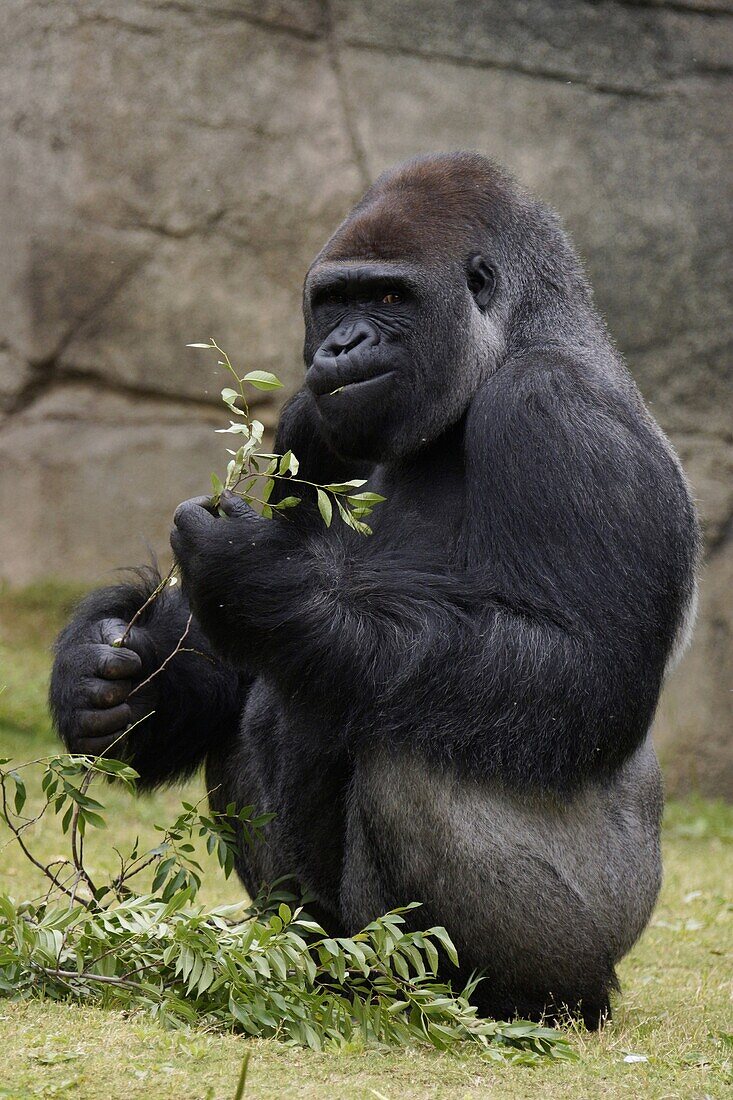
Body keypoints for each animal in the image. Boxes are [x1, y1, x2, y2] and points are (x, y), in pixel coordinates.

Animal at [50, 155, 695, 1029]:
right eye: (335, 300)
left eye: (389, 299)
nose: (342, 343)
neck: (514, 342)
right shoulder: (305, 422)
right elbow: (229, 658)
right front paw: (109, 677)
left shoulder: (559, 413)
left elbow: (583, 672)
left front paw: (265, 586)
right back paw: (315, 957)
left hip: (597, 929)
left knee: (412, 733)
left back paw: (507, 996)